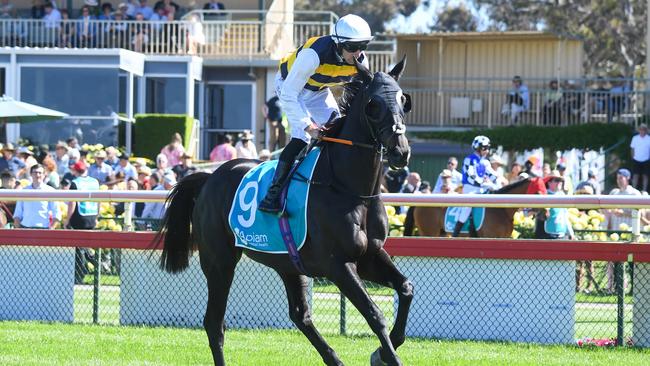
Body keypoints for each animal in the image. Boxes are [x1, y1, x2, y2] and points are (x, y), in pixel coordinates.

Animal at [153, 58, 410, 364]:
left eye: (403, 100)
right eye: (373, 104)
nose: (400, 152)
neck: (349, 188)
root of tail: (209, 178)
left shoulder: (369, 256)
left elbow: (406, 288)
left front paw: (385, 348)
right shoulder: (338, 265)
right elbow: (375, 314)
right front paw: (387, 354)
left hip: (287, 262)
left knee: (300, 315)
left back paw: (333, 358)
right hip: (219, 261)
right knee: (214, 322)